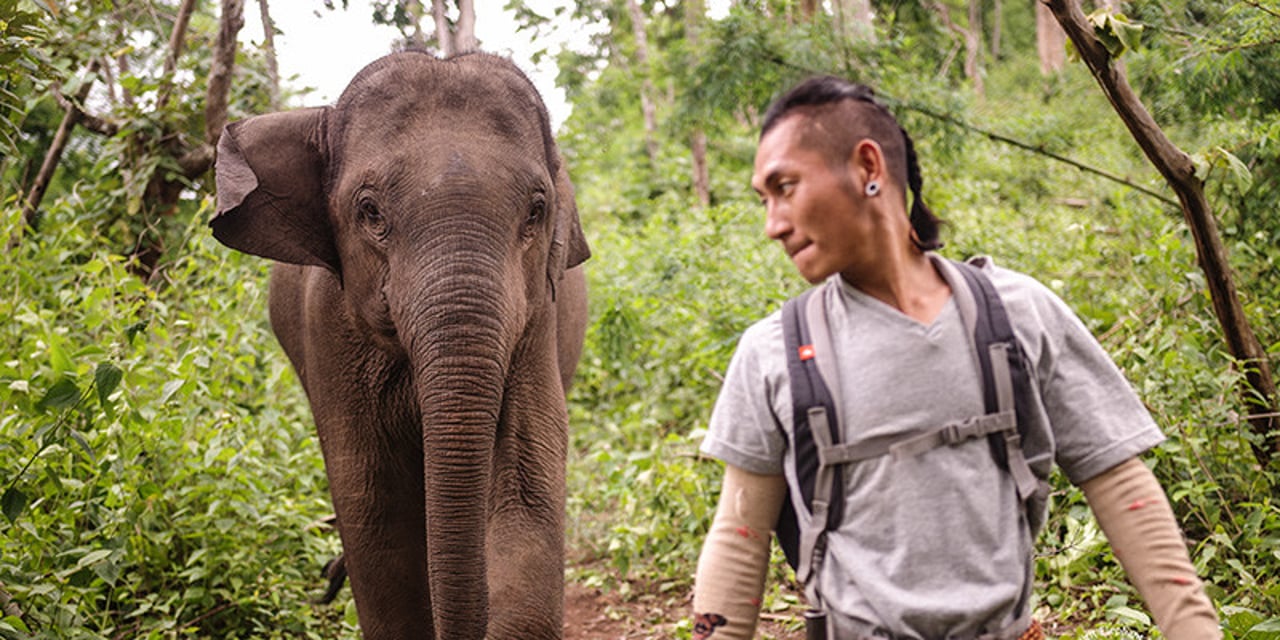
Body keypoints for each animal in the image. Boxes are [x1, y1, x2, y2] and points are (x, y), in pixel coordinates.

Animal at [208, 51, 588, 640]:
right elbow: (375, 504)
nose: (325, 581)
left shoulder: (536, 319)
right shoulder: (328, 326)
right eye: (369, 211)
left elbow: (526, 480)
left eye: (536, 210)